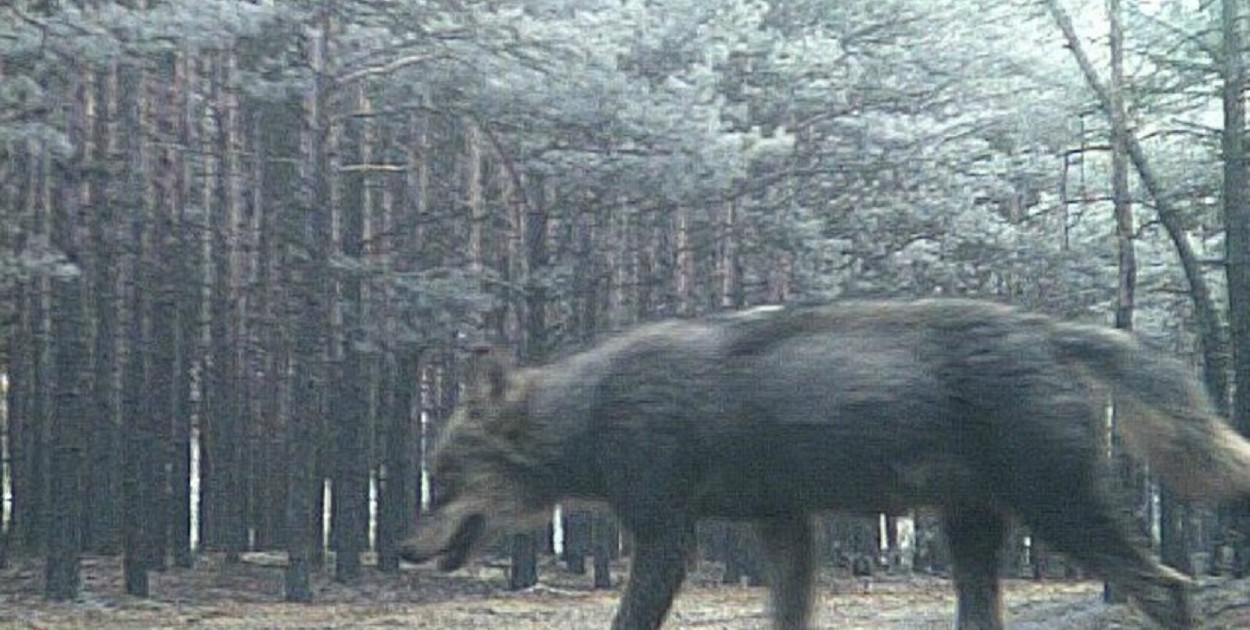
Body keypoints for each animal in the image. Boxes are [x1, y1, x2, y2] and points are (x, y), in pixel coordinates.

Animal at [397, 298, 1250, 630]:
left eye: (443, 477)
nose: (401, 549)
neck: (594, 409)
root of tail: (1045, 327)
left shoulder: (668, 538)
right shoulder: (786, 530)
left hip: (1061, 514)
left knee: (1167, 584)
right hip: (973, 535)